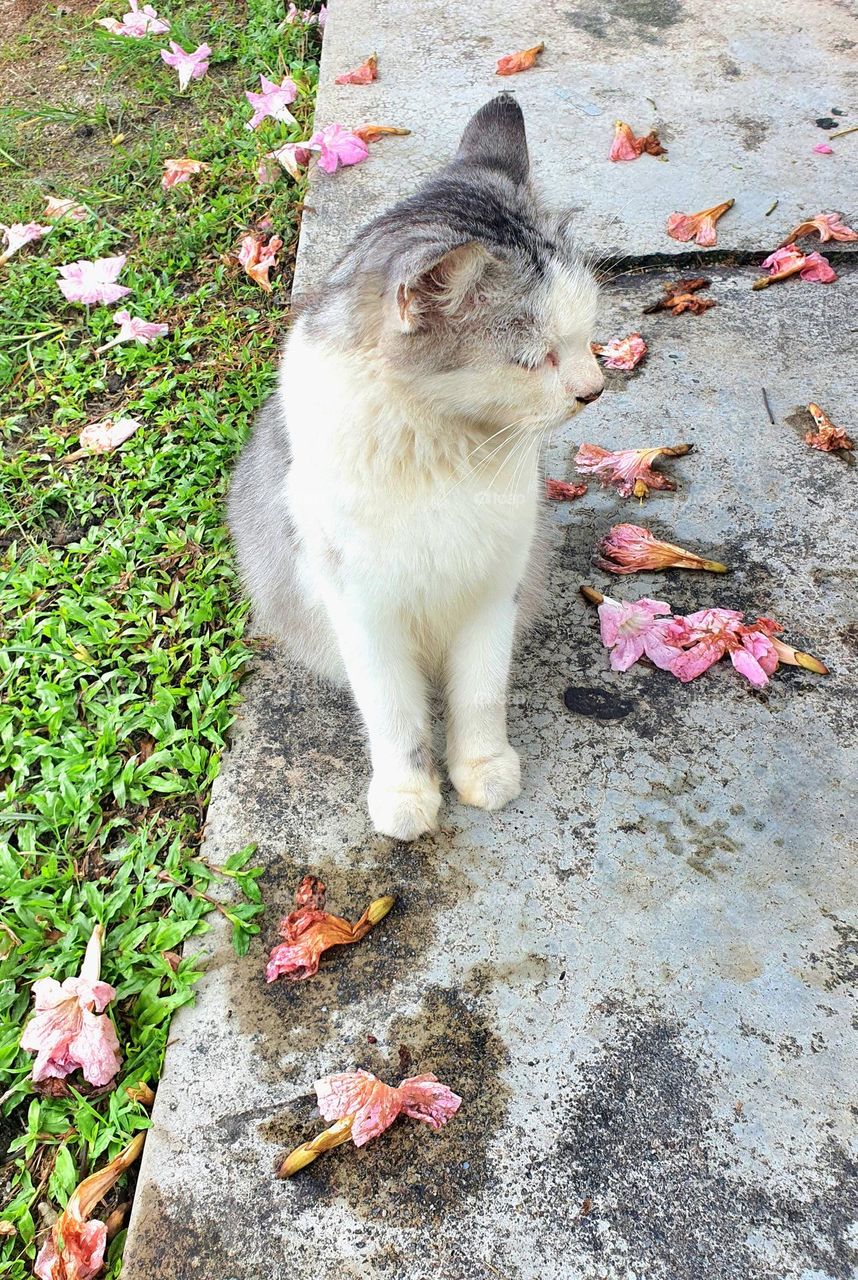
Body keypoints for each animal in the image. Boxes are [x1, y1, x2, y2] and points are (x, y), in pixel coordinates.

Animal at [227, 94, 604, 844]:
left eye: (583, 336)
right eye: (535, 359)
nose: (594, 388)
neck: (439, 451)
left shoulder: (495, 588)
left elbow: (481, 695)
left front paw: (482, 768)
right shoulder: (363, 613)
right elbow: (395, 717)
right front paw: (407, 795)